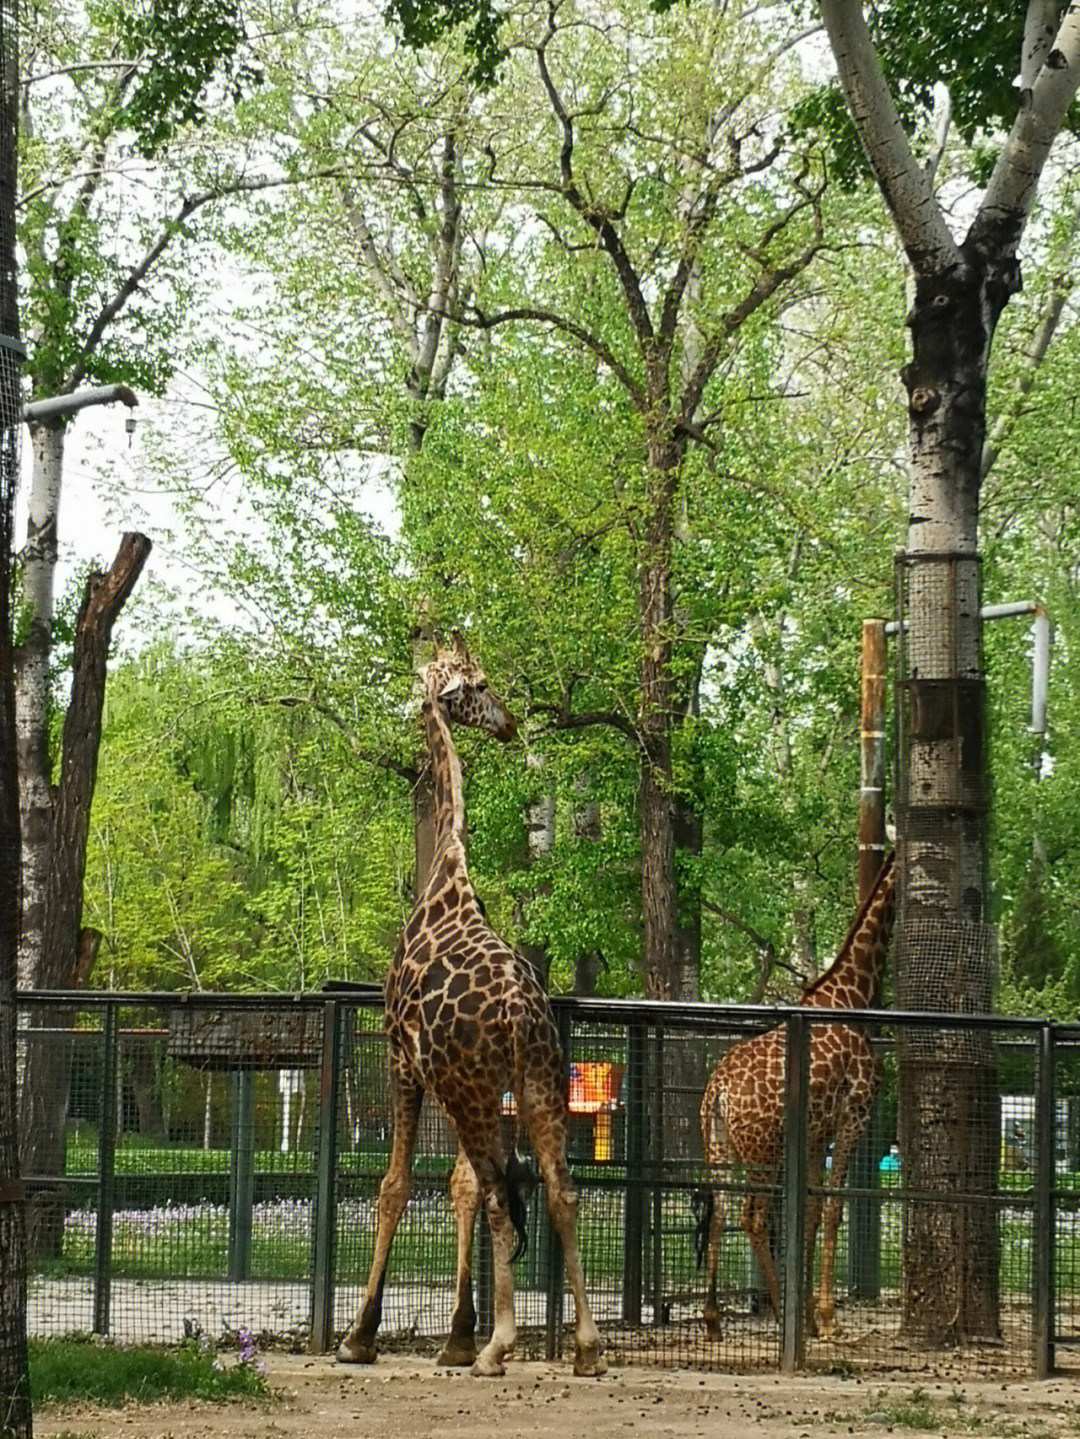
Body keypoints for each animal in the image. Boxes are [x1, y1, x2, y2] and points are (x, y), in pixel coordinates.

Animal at [337, 636, 609, 1375]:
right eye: (480, 684)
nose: (509, 723)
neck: (444, 879)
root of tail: (519, 1011)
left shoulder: (403, 1060)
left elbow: (397, 1186)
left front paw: (361, 1336)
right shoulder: (457, 1081)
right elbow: (456, 1185)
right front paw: (456, 1334)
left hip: (476, 1087)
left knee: (496, 1190)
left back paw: (500, 1344)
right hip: (536, 1081)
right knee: (558, 1188)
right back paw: (586, 1347)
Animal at [696, 851, 897, 1335]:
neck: (853, 997)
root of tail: (718, 1090)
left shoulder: (816, 1133)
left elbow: (809, 1212)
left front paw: (808, 1314)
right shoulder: (855, 1114)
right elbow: (833, 1209)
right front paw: (824, 1317)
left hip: (718, 1143)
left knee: (721, 1210)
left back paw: (713, 1318)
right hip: (763, 1151)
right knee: (752, 1217)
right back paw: (776, 1309)